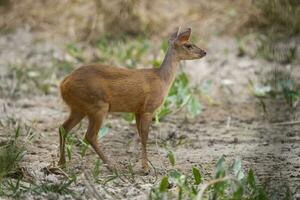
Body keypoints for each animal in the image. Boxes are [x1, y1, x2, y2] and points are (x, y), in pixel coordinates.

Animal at [58, 27, 206, 173]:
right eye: (188, 45)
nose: (204, 52)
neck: (162, 79)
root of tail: (63, 84)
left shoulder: (137, 110)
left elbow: (140, 135)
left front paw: (145, 165)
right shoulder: (149, 109)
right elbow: (145, 137)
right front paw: (146, 168)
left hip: (79, 108)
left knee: (63, 128)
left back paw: (62, 164)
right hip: (97, 106)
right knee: (90, 136)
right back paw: (111, 166)